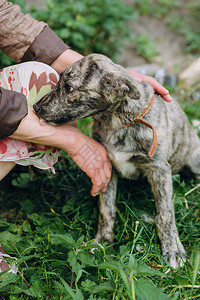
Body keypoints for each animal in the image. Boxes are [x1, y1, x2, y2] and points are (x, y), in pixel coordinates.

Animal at [34, 53, 200, 268]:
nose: (35, 107)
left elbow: (165, 214)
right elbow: (106, 209)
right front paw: (102, 242)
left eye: (69, 87)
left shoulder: (159, 170)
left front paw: (173, 250)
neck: (118, 122)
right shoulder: (106, 168)